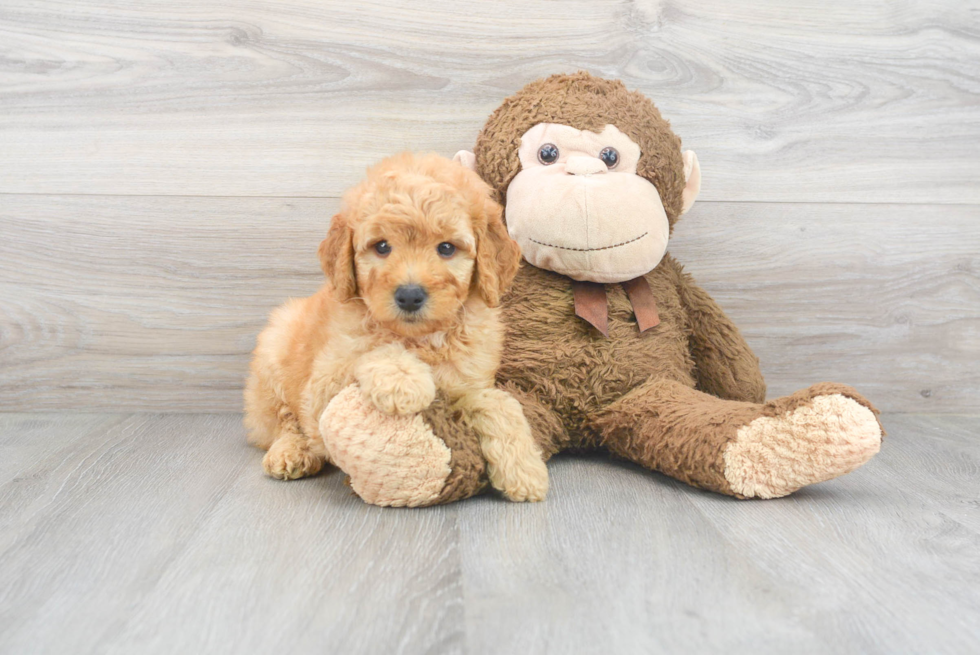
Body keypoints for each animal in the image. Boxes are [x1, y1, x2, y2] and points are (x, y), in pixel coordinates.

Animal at [245, 152, 552, 502]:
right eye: (381, 247)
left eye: (447, 248)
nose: (409, 295)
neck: (421, 340)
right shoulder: (323, 385)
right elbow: (370, 351)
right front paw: (402, 380)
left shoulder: (467, 384)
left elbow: (498, 403)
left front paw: (525, 470)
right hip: (273, 354)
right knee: (280, 419)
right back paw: (291, 452)